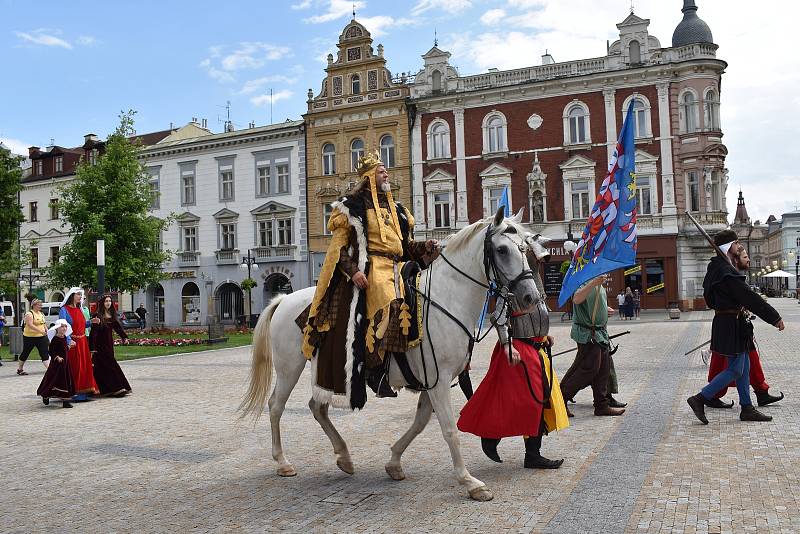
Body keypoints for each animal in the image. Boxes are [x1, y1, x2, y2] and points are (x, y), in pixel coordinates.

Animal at [241, 209, 540, 502]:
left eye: (524, 249)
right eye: (502, 250)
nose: (530, 297)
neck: (445, 300)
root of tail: (283, 300)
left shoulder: (431, 381)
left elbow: (420, 423)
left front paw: (394, 462)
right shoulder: (439, 381)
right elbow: (449, 430)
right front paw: (470, 482)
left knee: (317, 407)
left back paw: (344, 457)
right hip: (290, 368)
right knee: (276, 406)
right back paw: (283, 462)